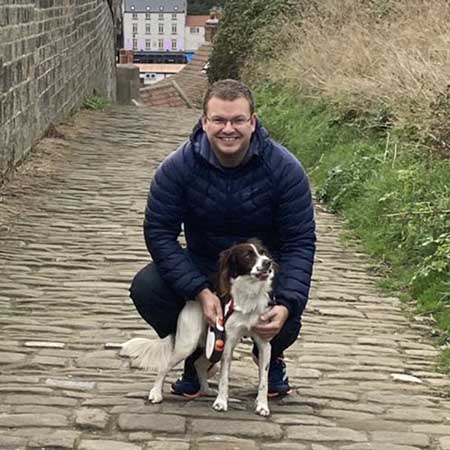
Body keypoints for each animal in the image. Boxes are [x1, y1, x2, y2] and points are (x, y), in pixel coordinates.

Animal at [120, 241, 274, 416]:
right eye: (247, 255)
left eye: (263, 252)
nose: (268, 262)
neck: (250, 294)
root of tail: (191, 301)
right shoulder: (227, 343)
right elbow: (224, 378)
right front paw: (221, 402)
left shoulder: (264, 343)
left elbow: (264, 380)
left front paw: (262, 405)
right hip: (189, 344)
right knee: (165, 365)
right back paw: (156, 393)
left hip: (212, 345)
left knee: (198, 364)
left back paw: (206, 390)